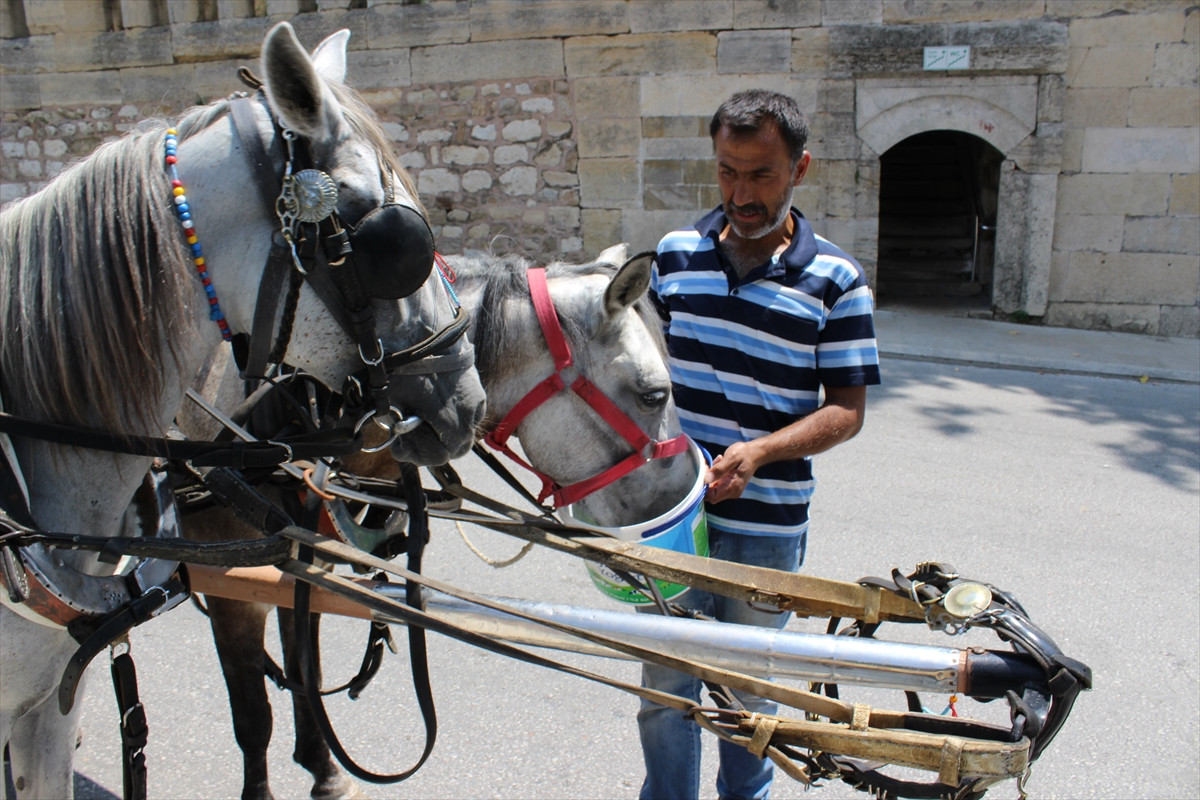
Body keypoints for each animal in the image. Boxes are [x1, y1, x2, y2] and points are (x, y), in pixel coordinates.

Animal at [184, 243, 697, 799]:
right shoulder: (228, 587)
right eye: (654, 394)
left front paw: (324, 771)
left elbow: (305, 672)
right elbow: (253, 716)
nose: (684, 495)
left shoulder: (300, 567)